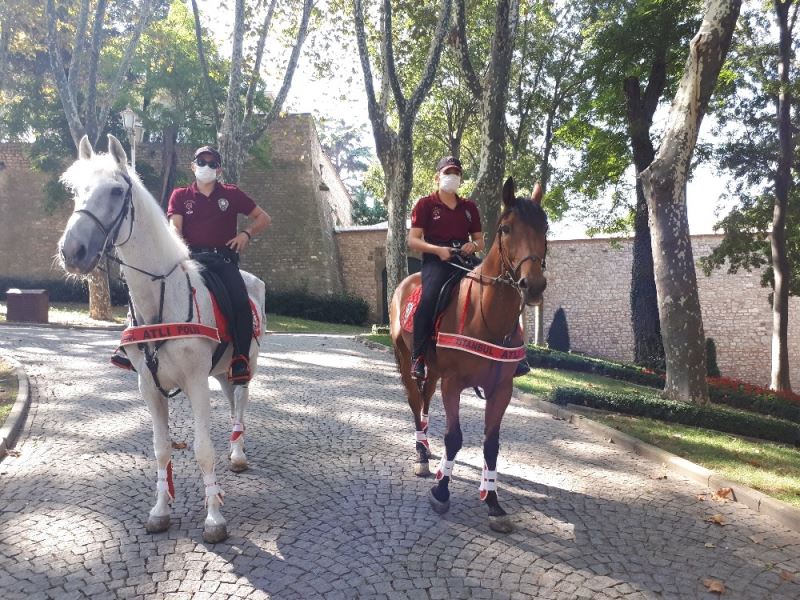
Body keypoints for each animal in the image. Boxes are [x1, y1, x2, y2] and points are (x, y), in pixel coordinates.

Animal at [57, 135, 268, 544]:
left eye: (116, 190)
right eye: (75, 190)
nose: (72, 251)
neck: (159, 300)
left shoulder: (196, 382)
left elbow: (203, 450)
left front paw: (214, 517)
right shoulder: (149, 387)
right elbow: (160, 450)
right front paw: (160, 510)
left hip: (245, 364)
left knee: (240, 402)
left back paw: (238, 452)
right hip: (221, 371)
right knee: (231, 398)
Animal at [390, 176, 552, 532]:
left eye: (545, 227)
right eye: (505, 228)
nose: (533, 284)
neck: (485, 315)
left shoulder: (501, 389)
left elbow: (491, 445)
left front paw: (492, 501)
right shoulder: (453, 383)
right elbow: (454, 437)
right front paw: (441, 490)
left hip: (433, 370)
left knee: (424, 402)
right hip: (407, 359)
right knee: (415, 402)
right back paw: (421, 454)